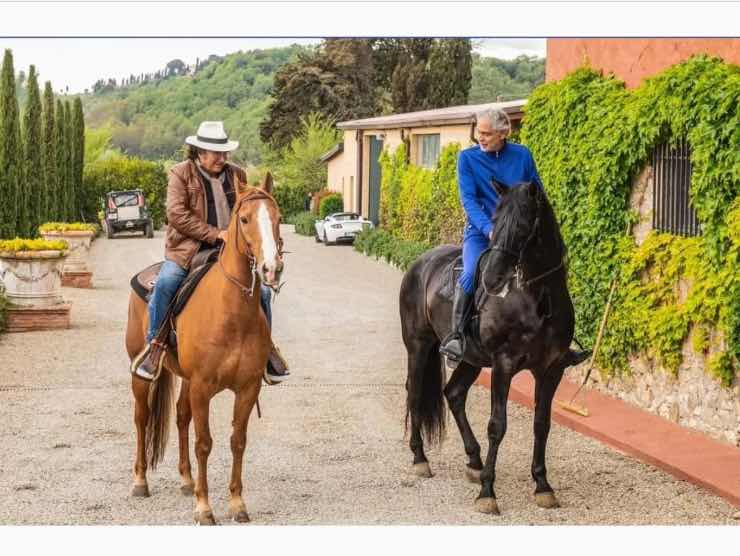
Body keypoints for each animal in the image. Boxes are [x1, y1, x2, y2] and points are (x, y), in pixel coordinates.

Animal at [125, 175, 282, 524]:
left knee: (181, 417)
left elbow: (238, 441)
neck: (232, 314)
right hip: (141, 375)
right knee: (142, 419)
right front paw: (204, 507)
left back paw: (186, 480)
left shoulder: (247, 388)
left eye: (277, 217)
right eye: (244, 219)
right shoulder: (202, 387)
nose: (271, 269)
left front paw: (237, 503)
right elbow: (204, 443)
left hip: (185, 379)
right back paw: (140, 482)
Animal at [402, 180, 576, 516]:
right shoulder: (503, 365)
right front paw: (487, 492)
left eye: (522, 226)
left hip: (471, 359)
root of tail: (420, 263)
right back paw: (419, 459)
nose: (492, 279)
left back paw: (474, 460)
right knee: (415, 393)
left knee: (454, 394)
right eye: (494, 221)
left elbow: (542, 424)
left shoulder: (551, 369)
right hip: (418, 346)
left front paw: (542, 485)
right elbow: (497, 425)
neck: (537, 298)